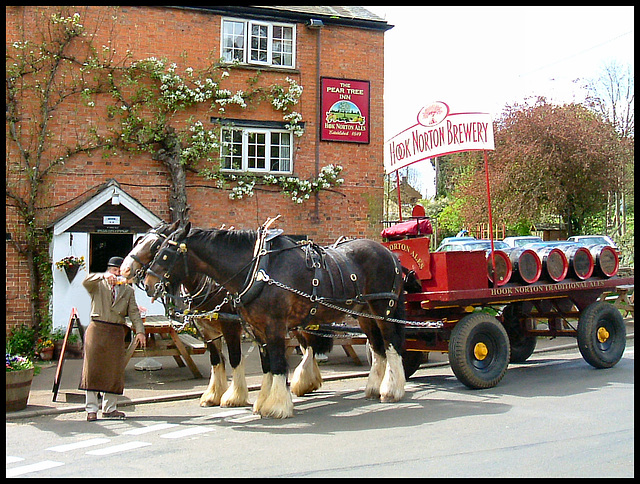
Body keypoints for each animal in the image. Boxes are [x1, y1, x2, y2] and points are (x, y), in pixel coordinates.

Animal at [144, 221, 404, 418]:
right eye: (156, 249)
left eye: (164, 253)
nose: (147, 284)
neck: (258, 270)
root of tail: (389, 253)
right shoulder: (258, 329)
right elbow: (266, 364)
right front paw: (262, 401)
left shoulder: (274, 326)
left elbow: (277, 363)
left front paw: (277, 406)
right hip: (364, 313)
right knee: (378, 348)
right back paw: (373, 388)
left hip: (384, 309)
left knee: (392, 345)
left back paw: (392, 390)